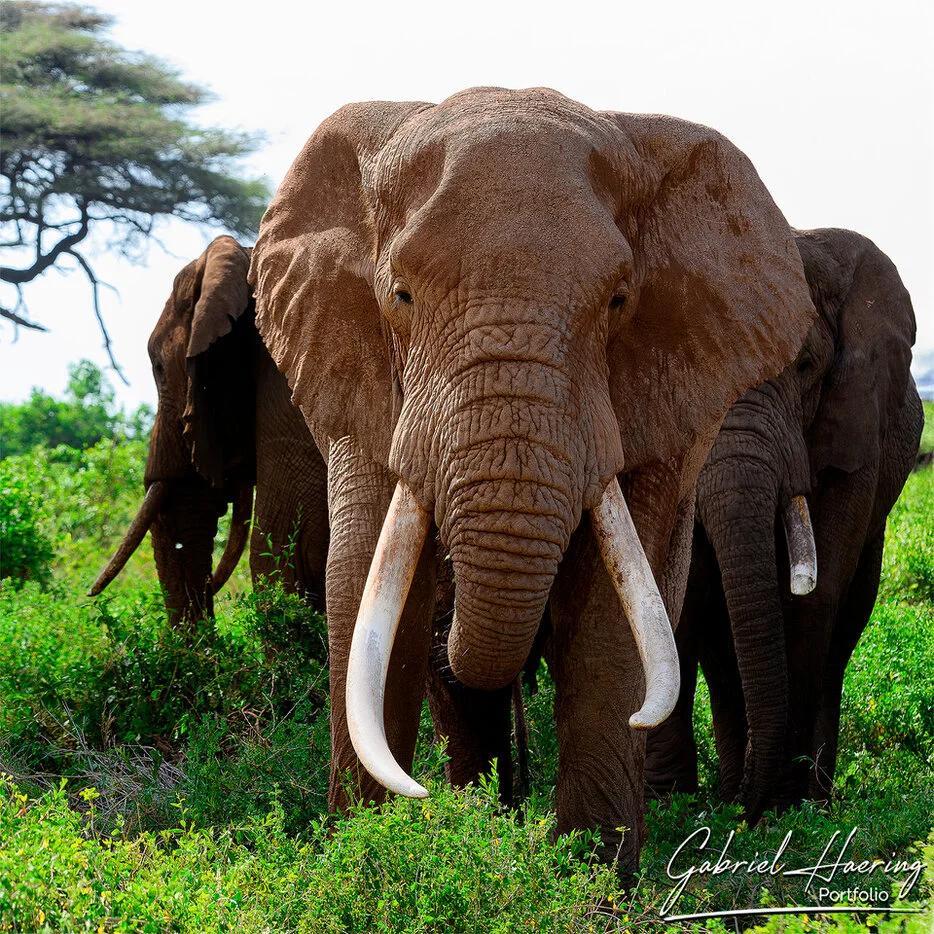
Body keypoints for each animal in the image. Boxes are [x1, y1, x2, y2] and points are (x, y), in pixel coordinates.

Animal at [248, 87, 815, 871]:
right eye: (400, 296)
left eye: (618, 301)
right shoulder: (354, 368)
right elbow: (367, 585)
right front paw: (363, 855)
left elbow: (615, 610)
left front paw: (589, 877)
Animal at [645, 227, 923, 822]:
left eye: (806, 365)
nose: (742, 813)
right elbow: (686, 595)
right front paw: (673, 804)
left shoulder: (856, 425)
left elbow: (812, 598)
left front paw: (779, 807)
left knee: (841, 632)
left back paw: (808, 799)